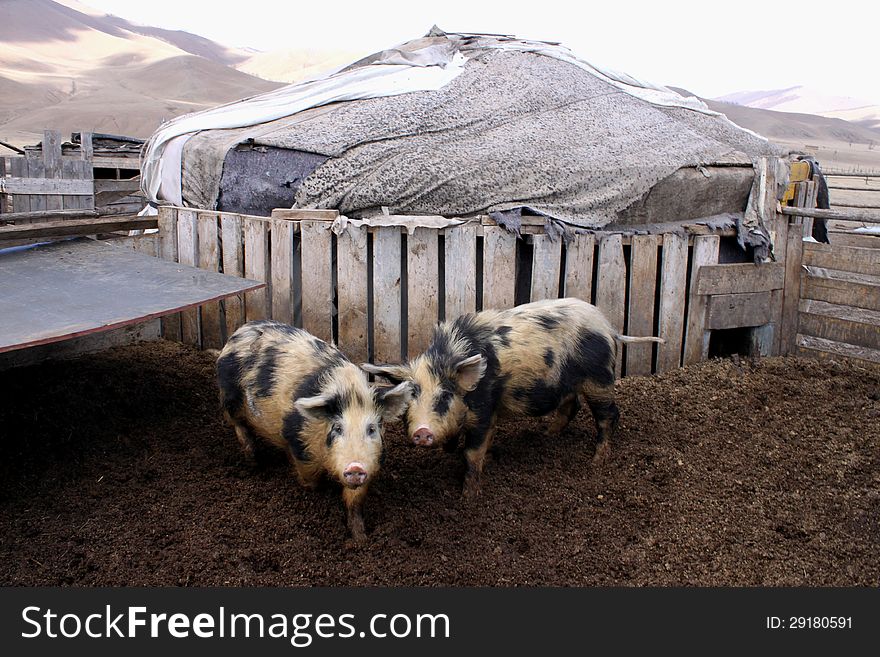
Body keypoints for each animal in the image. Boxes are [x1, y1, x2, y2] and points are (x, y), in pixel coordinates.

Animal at [218, 320, 414, 540]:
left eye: (371, 428)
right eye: (338, 428)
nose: (355, 467)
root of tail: (240, 331)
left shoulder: (371, 462)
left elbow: (354, 501)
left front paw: (360, 537)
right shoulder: (300, 445)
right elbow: (310, 479)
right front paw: (315, 492)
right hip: (229, 398)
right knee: (239, 426)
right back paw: (254, 461)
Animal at [362, 298, 660, 498]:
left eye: (445, 396)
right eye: (410, 399)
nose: (422, 433)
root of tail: (609, 329)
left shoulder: (483, 408)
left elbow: (472, 452)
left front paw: (468, 496)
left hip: (599, 379)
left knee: (609, 415)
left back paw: (597, 460)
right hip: (567, 383)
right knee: (571, 406)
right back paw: (546, 435)